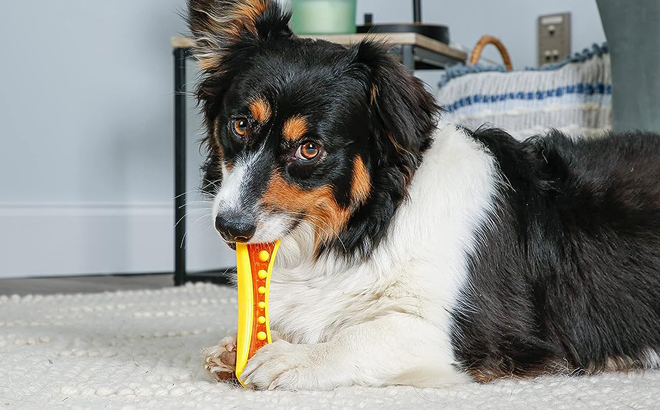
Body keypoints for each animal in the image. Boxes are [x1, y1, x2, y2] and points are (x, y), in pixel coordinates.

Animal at [186, 0, 660, 390]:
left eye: (309, 149)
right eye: (240, 125)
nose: (230, 228)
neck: (369, 227)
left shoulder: (469, 336)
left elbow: (359, 335)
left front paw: (291, 358)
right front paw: (234, 348)